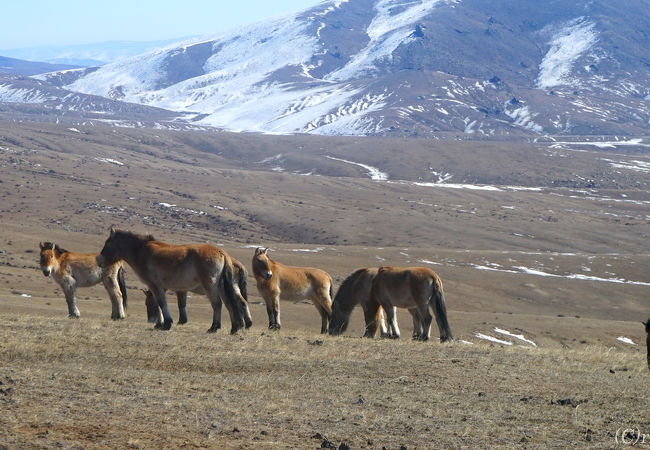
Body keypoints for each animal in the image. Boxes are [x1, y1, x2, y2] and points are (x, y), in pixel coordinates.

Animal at [97, 229, 246, 334]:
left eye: (107, 243)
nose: (99, 260)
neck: (141, 251)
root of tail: (222, 253)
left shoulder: (155, 285)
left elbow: (161, 303)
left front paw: (166, 323)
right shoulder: (161, 288)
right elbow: (160, 304)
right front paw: (160, 324)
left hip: (211, 286)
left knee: (217, 304)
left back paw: (214, 327)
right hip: (221, 287)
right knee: (229, 304)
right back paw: (235, 328)